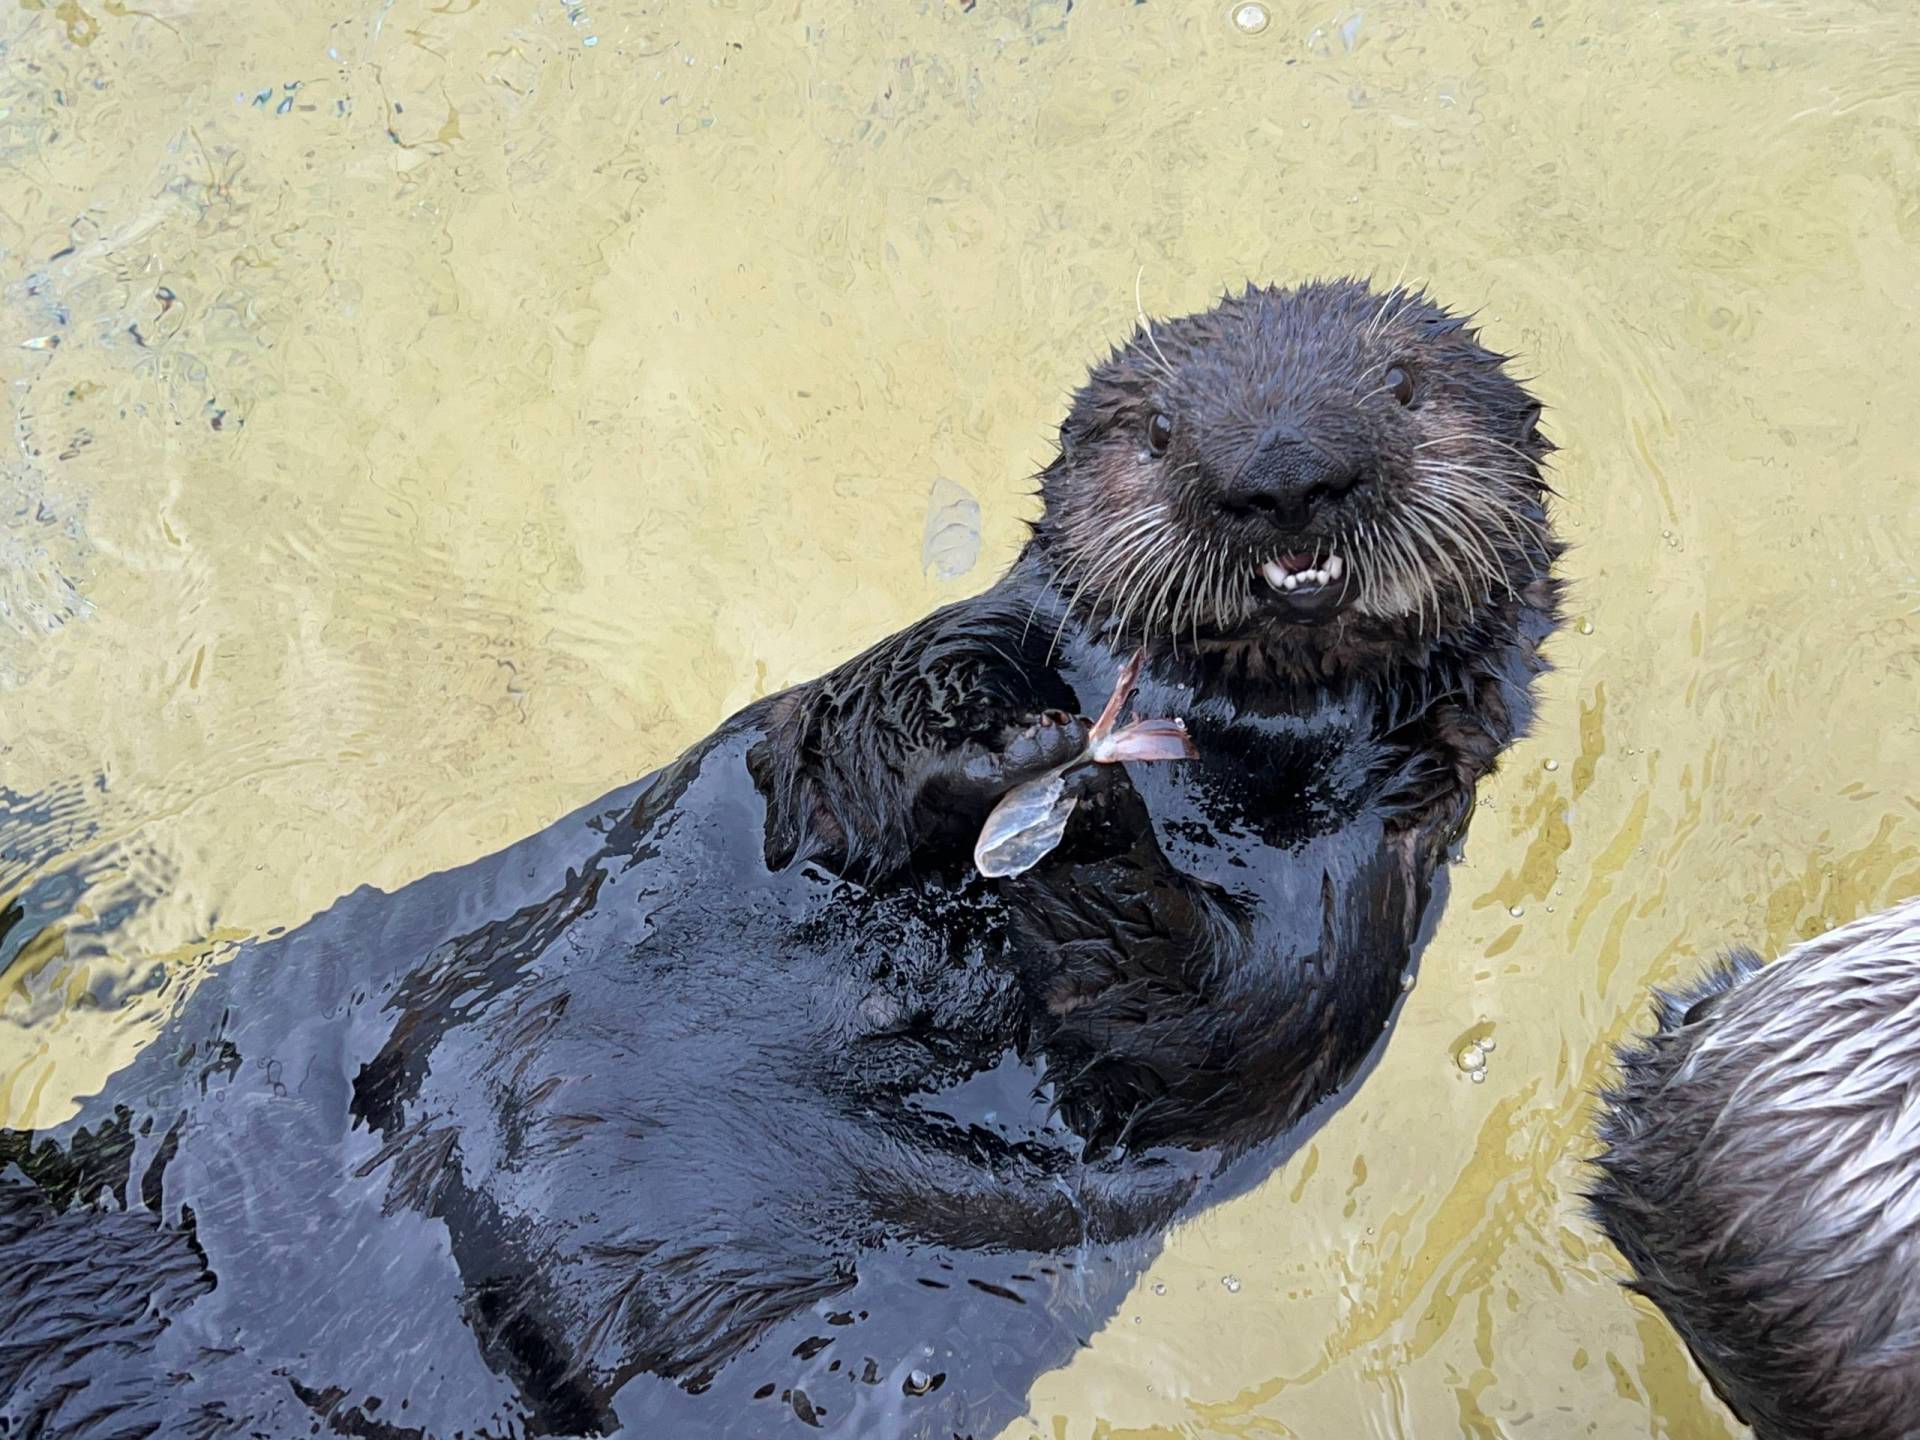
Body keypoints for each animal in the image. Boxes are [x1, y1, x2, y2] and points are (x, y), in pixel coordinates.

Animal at [0, 280, 1559, 1439]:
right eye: (1165, 431)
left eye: (1405, 389)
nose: (1283, 474)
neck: (1219, 734)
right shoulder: (831, 739)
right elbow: (816, 767)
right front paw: (985, 716)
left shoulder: (1369, 883)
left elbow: (1220, 1031)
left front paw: (1089, 816)